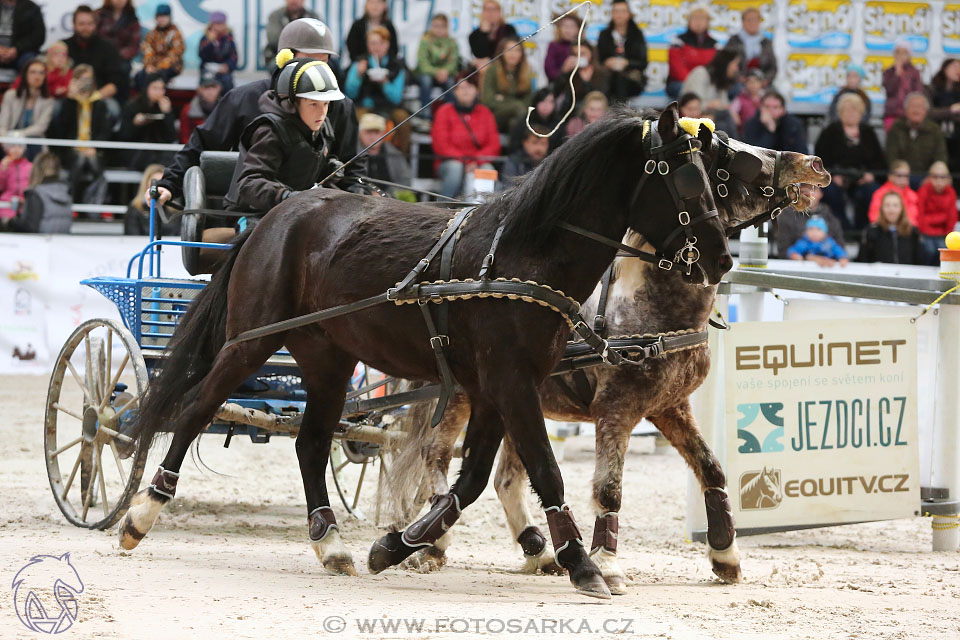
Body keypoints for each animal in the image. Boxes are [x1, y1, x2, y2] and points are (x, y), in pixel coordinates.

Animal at [116, 104, 732, 600]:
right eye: (686, 180)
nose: (722, 258)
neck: (523, 256)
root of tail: (277, 215)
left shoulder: (496, 388)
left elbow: (473, 478)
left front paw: (398, 544)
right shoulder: (510, 383)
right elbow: (544, 470)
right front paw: (582, 564)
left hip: (328, 358)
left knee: (311, 444)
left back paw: (331, 543)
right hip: (251, 341)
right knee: (196, 409)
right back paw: (141, 514)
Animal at [378, 132, 828, 592]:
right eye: (728, 159)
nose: (814, 163)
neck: (644, 311)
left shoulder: (670, 406)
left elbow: (712, 469)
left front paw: (725, 553)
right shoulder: (616, 410)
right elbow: (609, 488)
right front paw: (607, 563)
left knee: (507, 478)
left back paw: (538, 551)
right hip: (461, 397)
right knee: (435, 455)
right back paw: (433, 543)